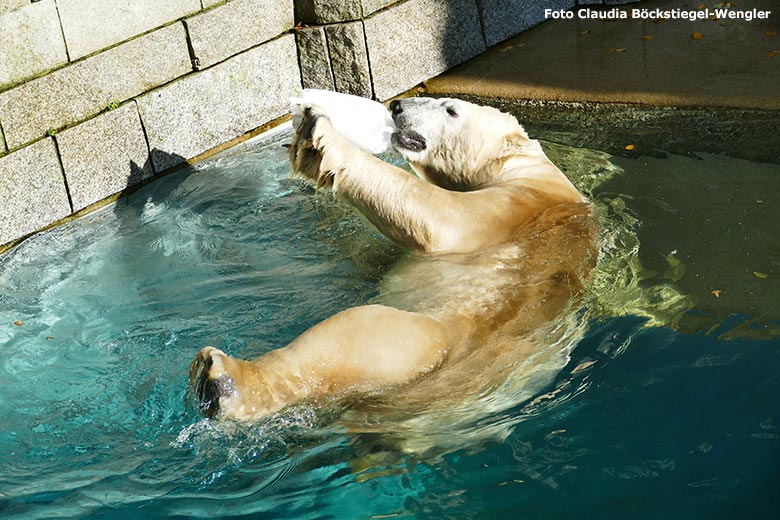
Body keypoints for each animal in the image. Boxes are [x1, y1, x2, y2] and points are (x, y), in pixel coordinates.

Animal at [189, 96, 596, 422]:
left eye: (451, 109)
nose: (397, 106)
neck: (524, 167)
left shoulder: (514, 207)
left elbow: (440, 220)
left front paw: (319, 129)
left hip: (428, 342)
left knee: (358, 332)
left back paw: (222, 379)